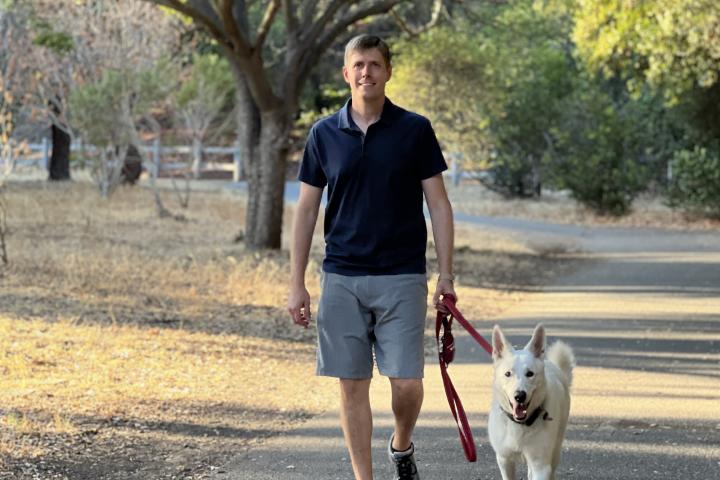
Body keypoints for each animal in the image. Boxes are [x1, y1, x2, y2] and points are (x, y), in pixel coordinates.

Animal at [486, 322, 576, 480]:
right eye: (508, 374)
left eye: (530, 374)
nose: (519, 396)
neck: (519, 424)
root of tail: (552, 364)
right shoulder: (504, 460)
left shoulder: (541, 465)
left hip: (555, 450)